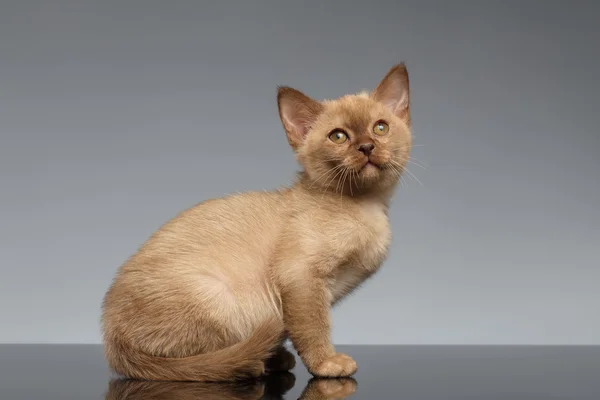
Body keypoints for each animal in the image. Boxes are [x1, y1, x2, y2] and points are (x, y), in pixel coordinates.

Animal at [103, 63, 412, 382]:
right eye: (338, 136)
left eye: (380, 128)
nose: (366, 147)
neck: (367, 205)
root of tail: (115, 343)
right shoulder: (301, 279)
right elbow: (313, 326)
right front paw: (326, 364)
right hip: (221, 298)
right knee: (208, 360)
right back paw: (258, 362)